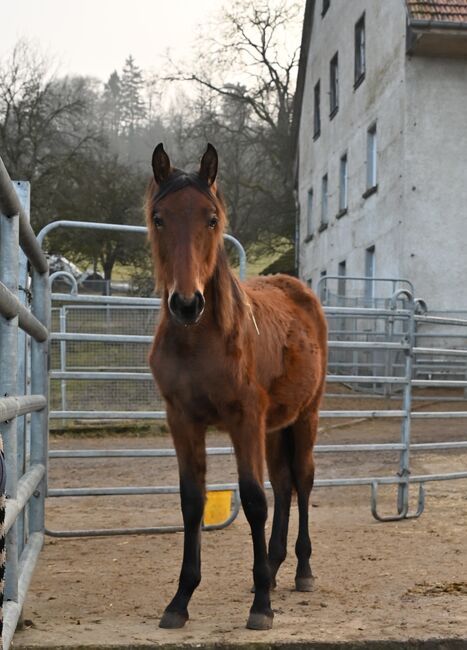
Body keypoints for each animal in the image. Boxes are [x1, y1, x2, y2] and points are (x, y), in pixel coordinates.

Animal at [146, 143, 327, 631]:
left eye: (211, 218)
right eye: (159, 218)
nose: (186, 303)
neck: (199, 342)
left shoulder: (245, 420)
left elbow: (253, 501)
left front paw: (261, 606)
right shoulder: (182, 420)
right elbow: (193, 501)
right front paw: (180, 600)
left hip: (306, 415)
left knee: (302, 480)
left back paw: (301, 570)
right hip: (275, 426)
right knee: (283, 483)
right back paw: (275, 564)